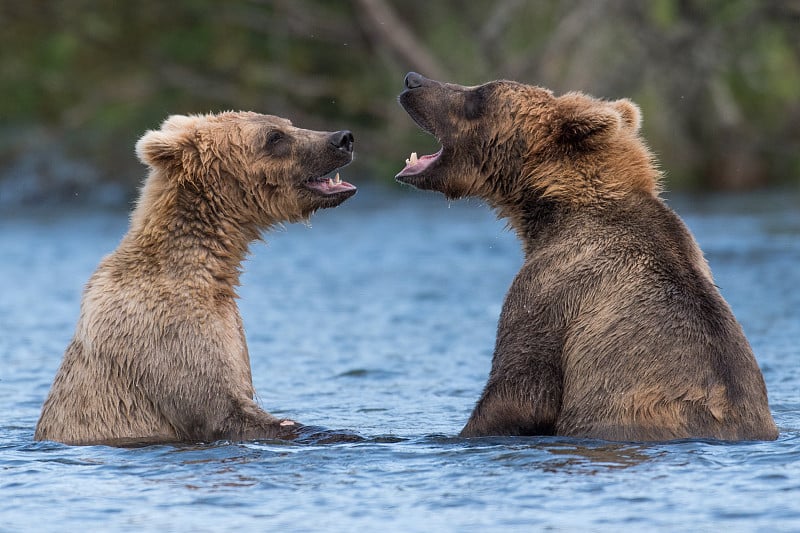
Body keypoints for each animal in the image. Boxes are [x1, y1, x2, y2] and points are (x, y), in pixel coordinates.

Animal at [36, 112, 356, 444]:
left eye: (287, 123)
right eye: (274, 137)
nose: (342, 138)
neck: (211, 271)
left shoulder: (229, 327)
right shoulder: (167, 334)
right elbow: (222, 408)